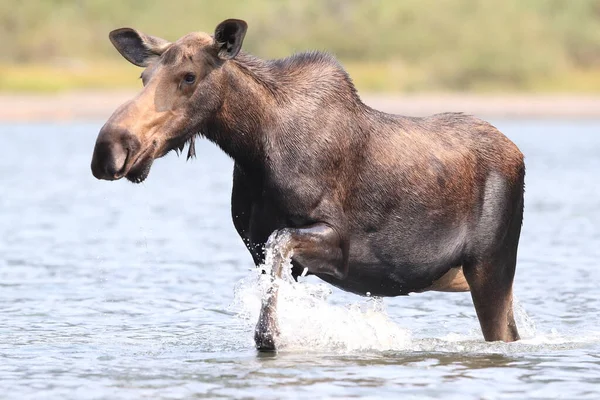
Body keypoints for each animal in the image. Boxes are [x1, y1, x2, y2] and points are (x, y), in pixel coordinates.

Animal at [90, 18, 524, 350]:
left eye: (189, 76)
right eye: (144, 76)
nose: (109, 149)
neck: (253, 147)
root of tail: (517, 153)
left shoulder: (336, 240)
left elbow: (280, 249)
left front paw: (271, 337)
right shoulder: (256, 245)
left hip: (491, 265)